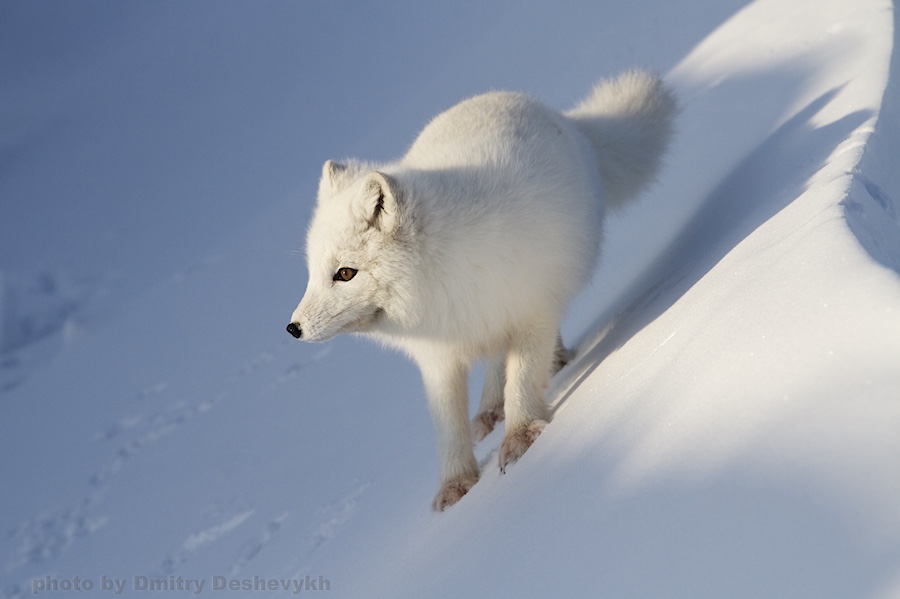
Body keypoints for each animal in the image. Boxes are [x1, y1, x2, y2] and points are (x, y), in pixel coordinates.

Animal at [288, 69, 676, 510]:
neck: (441, 280)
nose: (293, 328)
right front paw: (456, 483)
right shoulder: (437, 357)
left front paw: (521, 436)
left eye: (345, 273)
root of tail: (562, 116)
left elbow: (522, 378)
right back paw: (491, 408)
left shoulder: (531, 310)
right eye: (312, 272)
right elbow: (448, 426)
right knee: (493, 361)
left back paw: (550, 366)